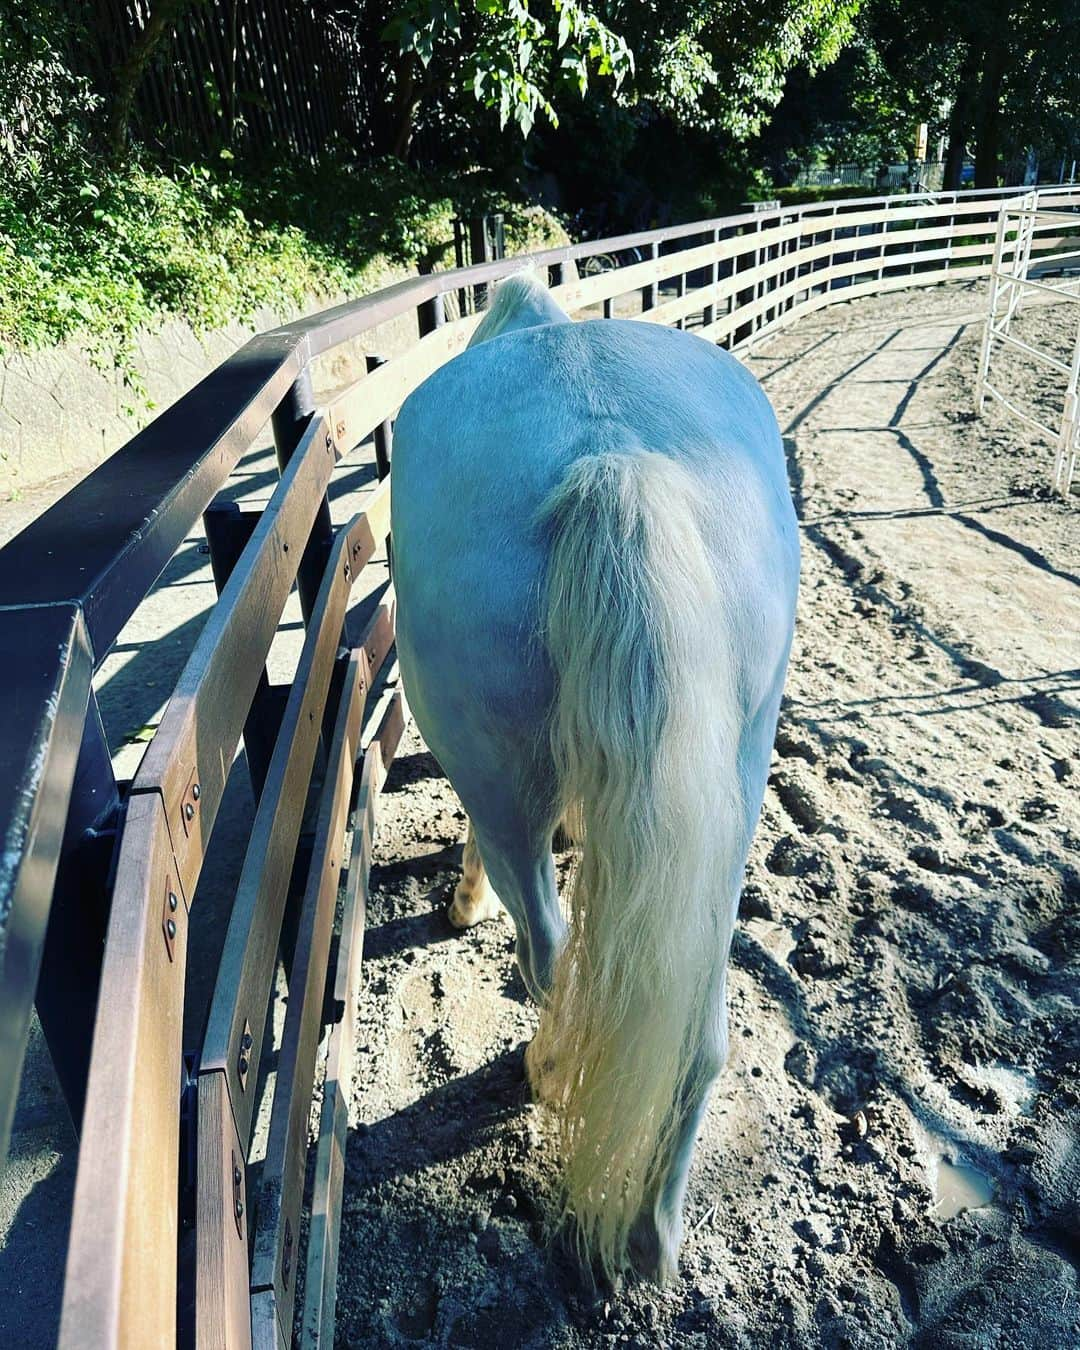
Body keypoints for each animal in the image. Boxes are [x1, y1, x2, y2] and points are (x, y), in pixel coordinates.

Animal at [391, 268, 799, 1279]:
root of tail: (614, 457)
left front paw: (459, 905)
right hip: (732, 793)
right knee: (698, 1033)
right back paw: (654, 1237)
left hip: (504, 790)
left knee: (548, 954)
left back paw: (543, 1068)